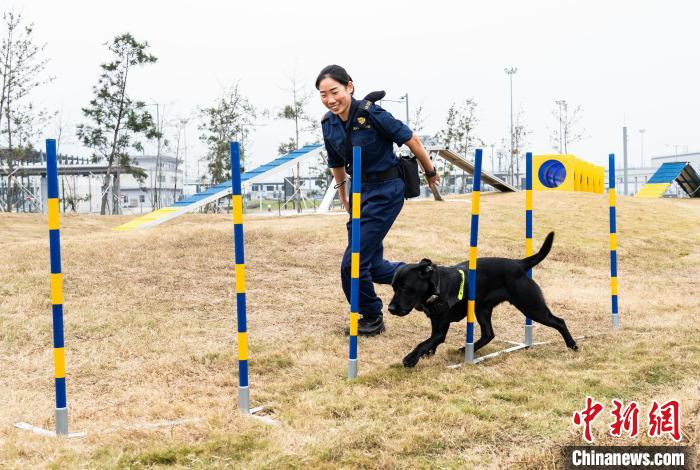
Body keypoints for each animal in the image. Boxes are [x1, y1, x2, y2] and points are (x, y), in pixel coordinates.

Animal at [386, 233, 576, 370]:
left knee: (559, 321)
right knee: (488, 334)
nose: (390, 308)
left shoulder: (441, 328)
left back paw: (572, 345)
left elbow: (425, 342)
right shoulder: (437, 323)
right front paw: (427, 354)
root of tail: (519, 264)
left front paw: (411, 358)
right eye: (393, 287)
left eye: (405, 288)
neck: (438, 286)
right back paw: (466, 349)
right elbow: (430, 341)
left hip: (531, 306)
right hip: (482, 310)